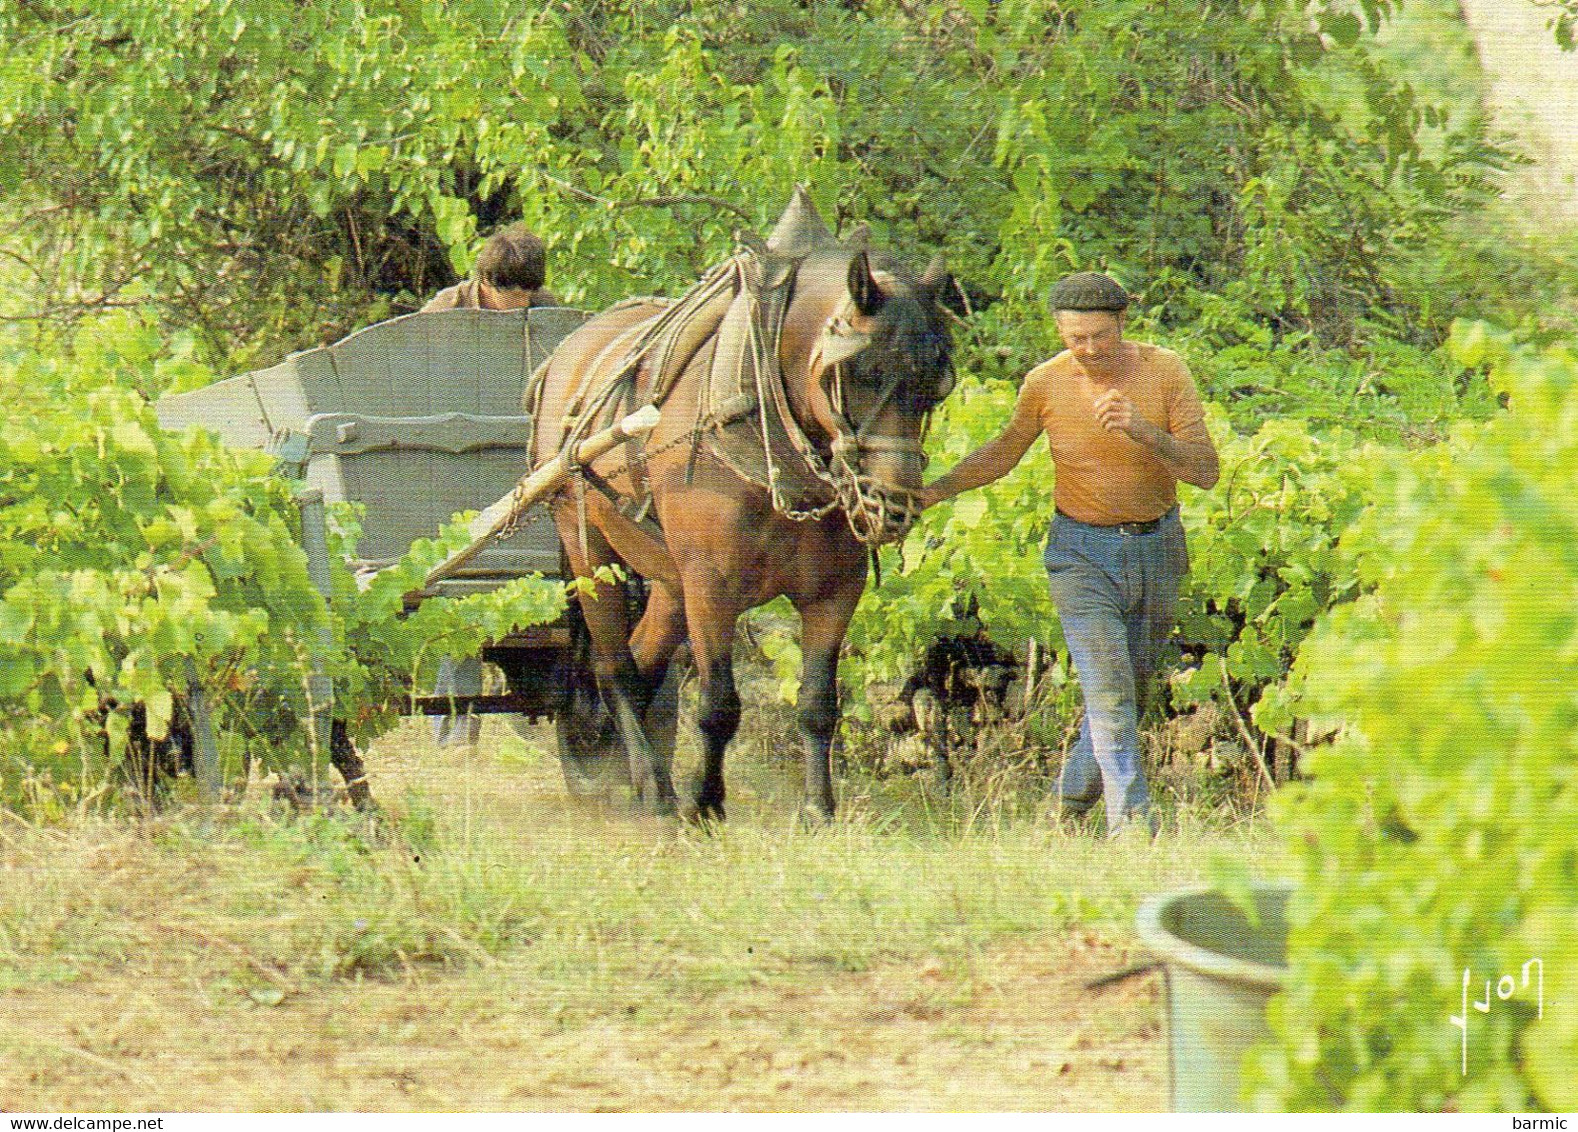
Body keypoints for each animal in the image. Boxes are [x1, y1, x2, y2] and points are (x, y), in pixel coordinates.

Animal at [530, 190, 953, 814]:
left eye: (935, 382)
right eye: (858, 371)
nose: (890, 503)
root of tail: (569, 352)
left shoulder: (835, 592)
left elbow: (818, 705)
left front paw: (819, 809)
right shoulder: (711, 586)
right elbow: (719, 706)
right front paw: (704, 804)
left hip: (667, 578)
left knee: (642, 660)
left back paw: (619, 764)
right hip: (591, 553)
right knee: (615, 667)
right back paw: (651, 787)